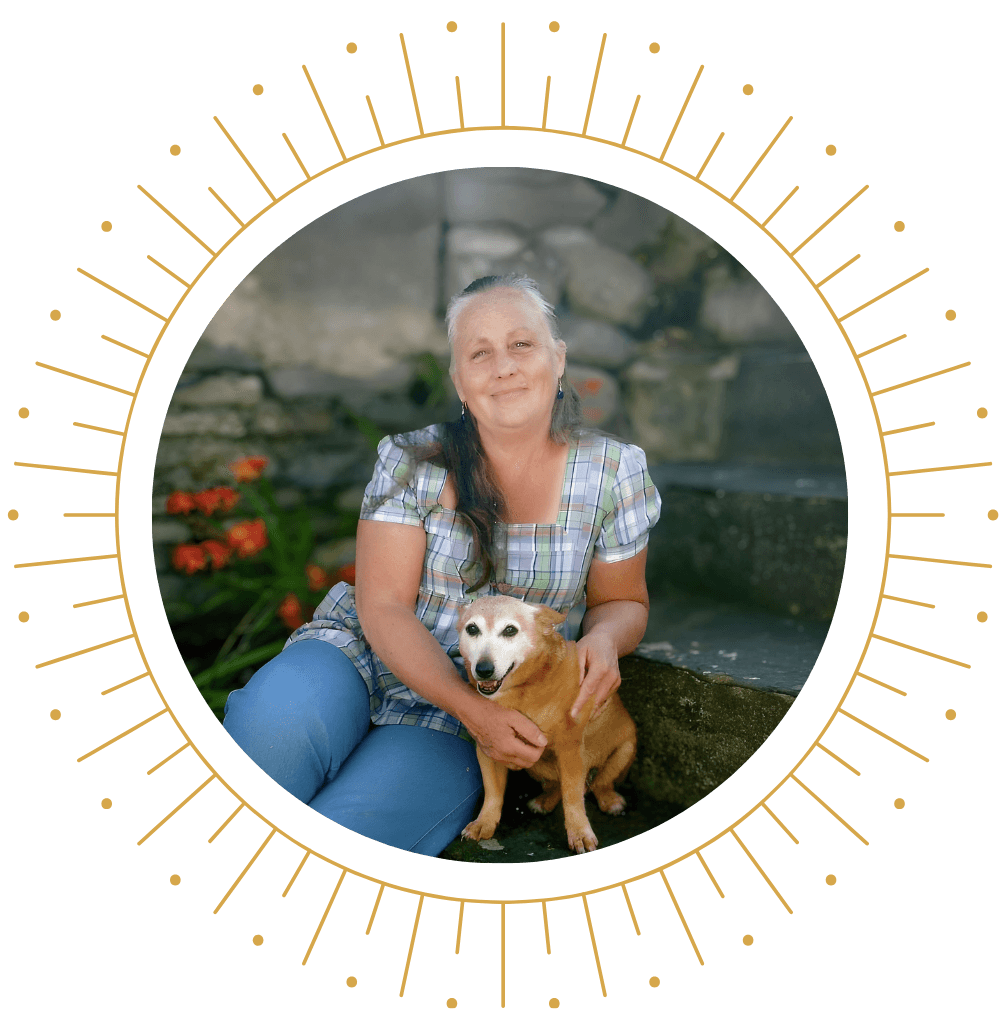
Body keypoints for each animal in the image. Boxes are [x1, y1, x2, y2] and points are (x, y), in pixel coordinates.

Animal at [457, 591, 636, 854]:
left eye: (510, 630)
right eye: (472, 629)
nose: (484, 669)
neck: (522, 691)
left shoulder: (570, 749)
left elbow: (573, 797)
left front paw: (579, 833)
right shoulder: (489, 747)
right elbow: (493, 792)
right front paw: (485, 822)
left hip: (625, 749)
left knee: (599, 784)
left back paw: (609, 800)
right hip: (535, 763)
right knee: (557, 786)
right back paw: (545, 801)